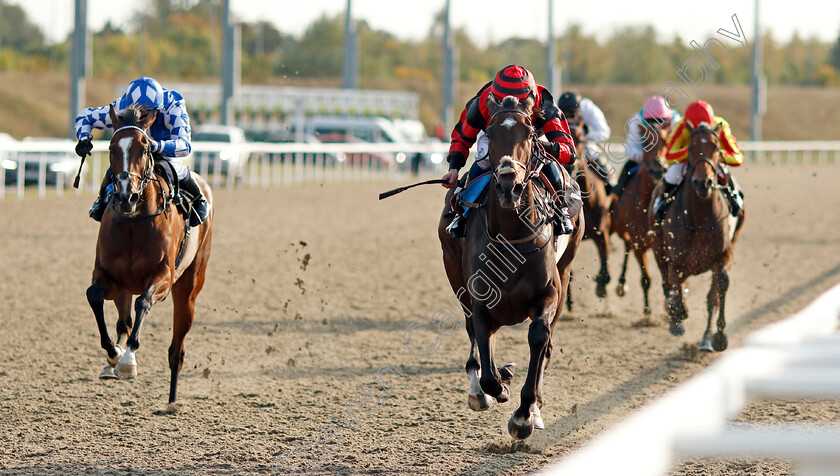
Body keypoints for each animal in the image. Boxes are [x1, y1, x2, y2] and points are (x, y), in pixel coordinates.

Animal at [85, 103, 213, 402]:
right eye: (111, 148)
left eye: (144, 149)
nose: (125, 196)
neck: (134, 222)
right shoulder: (110, 276)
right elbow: (94, 295)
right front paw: (114, 354)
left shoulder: (163, 279)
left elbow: (144, 302)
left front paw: (127, 361)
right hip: (124, 287)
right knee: (124, 321)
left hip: (189, 288)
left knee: (176, 350)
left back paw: (172, 401)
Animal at [440, 93, 584, 438]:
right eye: (490, 134)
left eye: (530, 134)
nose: (509, 186)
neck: (512, 235)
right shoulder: (479, 299)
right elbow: (486, 359)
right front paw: (497, 384)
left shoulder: (549, 294)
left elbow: (539, 337)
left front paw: (524, 414)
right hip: (454, 273)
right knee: (475, 335)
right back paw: (479, 390)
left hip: (566, 269)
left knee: (545, 343)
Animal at [612, 121, 668, 314]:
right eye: (645, 142)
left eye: (666, 141)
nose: (659, 167)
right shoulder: (639, 243)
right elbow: (646, 279)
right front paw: (647, 312)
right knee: (627, 248)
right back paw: (621, 285)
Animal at [648, 124, 744, 352]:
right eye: (690, 148)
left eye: (716, 148)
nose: (703, 183)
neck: (699, 218)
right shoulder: (674, 259)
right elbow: (674, 285)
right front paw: (677, 318)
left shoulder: (724, 256)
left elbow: (718, 290)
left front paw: (719, 336)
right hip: (657, 247)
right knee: (667, 282)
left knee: (710, 298)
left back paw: (706, 339)